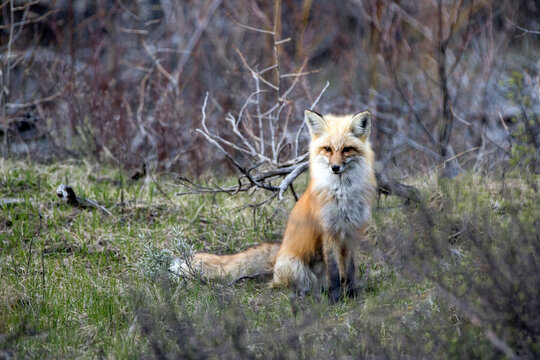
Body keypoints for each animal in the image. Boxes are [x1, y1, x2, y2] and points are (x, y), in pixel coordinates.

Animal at [173, 110, 376, 304]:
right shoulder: (328, 232)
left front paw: (352, 296)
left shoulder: (353, 232)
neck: (343, 195)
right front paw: (335, 300)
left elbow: (350, 271)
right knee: (279, 285)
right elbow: (333, 273)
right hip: (296, 267)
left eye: (347, 149)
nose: (335, 168)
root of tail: (278, 254)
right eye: (327, 149)